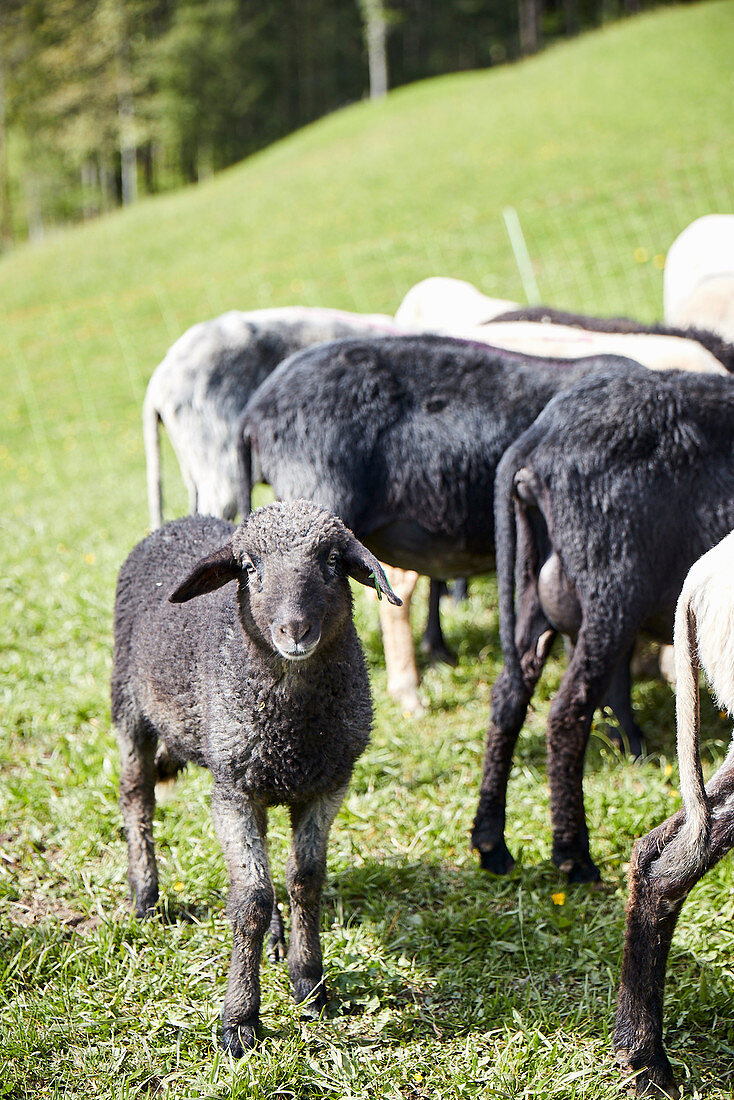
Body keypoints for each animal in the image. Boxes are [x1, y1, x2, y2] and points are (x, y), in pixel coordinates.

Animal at [110, 499, 398, 1056]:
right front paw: (239, 1020)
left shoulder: (328, 784)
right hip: (129, 706)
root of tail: (180, 521)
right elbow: (251, 900)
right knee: (138, 800)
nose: (295, 630)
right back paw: (145, 896)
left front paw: (309, 983)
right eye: (249, 568)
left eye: (333, 562)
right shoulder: (232, 791)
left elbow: (304, 881)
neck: (293, 727)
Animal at [473, 369, 734, 884]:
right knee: (566, 714)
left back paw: (491, 843)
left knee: (508, 696)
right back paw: (573, 854)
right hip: (610, 593)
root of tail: (540, 438)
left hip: (534, 593)